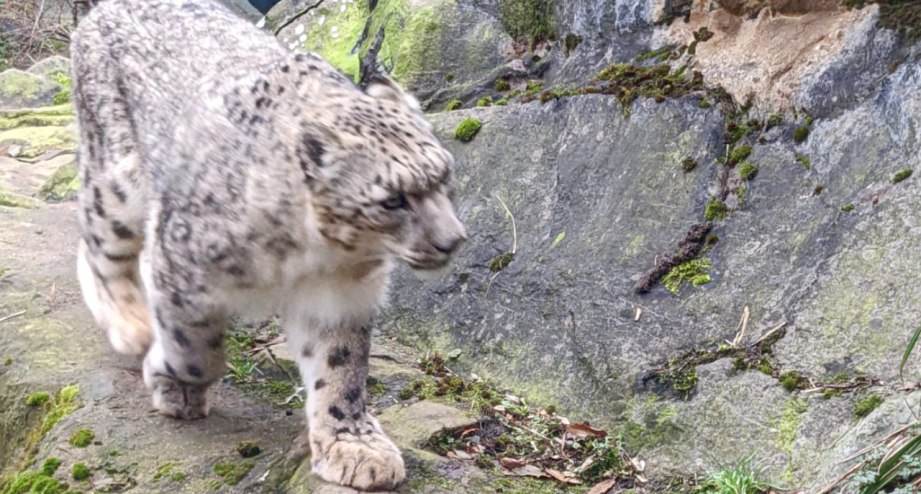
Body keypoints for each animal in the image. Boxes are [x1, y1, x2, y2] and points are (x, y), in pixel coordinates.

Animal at [70, 0, 468, 490]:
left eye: (444, 175)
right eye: (393, 199)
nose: (452, 239)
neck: (311, 255)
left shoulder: (341, 294)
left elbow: (341, 367)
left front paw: (352, 444)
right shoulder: (184, 264)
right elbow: (195, 351)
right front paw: (174, 385)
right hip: (118, 179)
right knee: (99, 244)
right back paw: (132, 325)